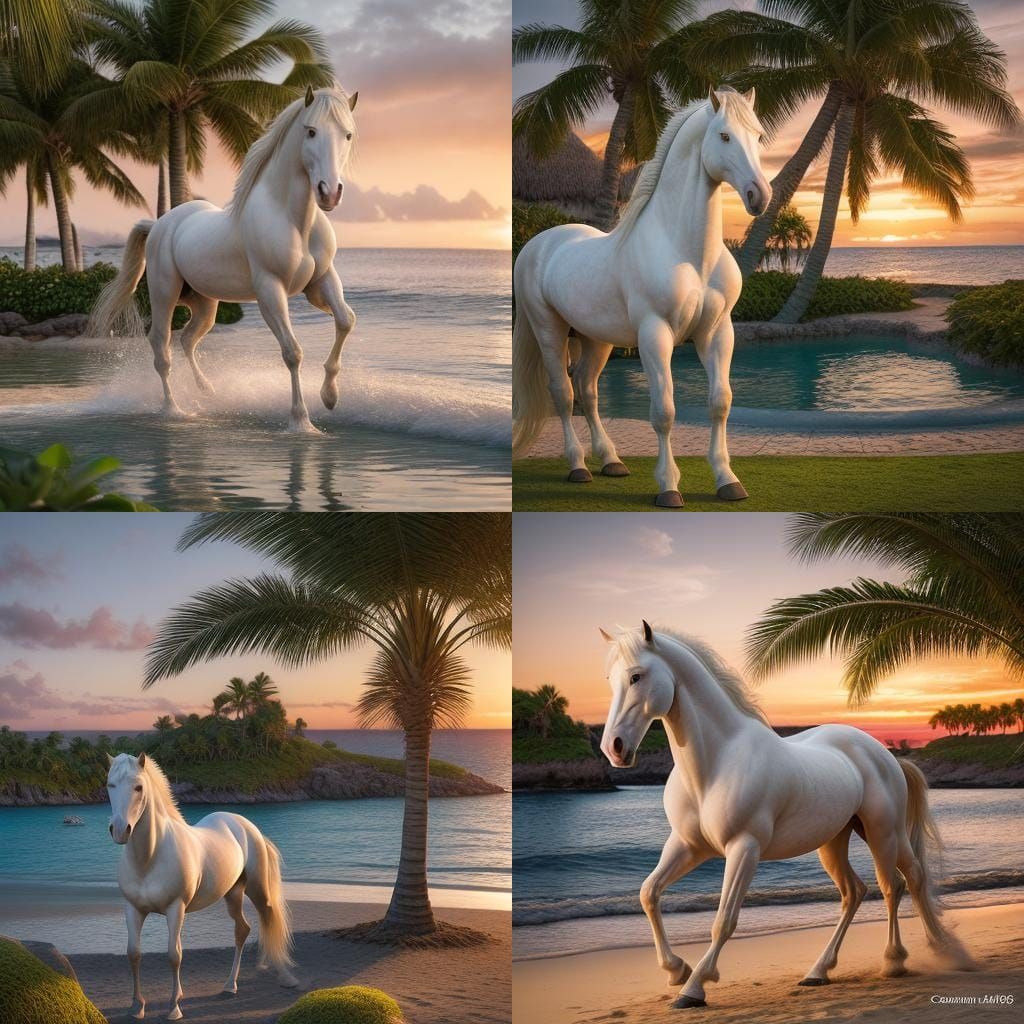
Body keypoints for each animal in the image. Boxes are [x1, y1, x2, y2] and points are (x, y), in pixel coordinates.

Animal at [88, 84, 358, 434]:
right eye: (310, 131)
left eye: (347, 135)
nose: (329, 193)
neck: (293, 220)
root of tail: (160, 223)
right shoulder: (270, 290)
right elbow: (292, 351)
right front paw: (301, 421)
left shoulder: (321, 281)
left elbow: (345, 320)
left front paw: (330, 397)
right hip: (164, 293)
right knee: (161, 345)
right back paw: (174, 410)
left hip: (205, 304)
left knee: (188, 339)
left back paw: (207, 391)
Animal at [105, 752, 297, 1020]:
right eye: (110, 785)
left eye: (138, 787)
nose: (120, 830)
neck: (150, 858)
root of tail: (246, 826)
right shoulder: (133, 909)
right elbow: (133, 953)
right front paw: (137, 1007)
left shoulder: (176, 909)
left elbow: (174, 955)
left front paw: (174, 1007)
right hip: (233, 894)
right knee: (242, 930)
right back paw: (229, 986)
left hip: (258, 891)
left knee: (269, 918)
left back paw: (286, 977)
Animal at [512, 88, 771, 507]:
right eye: (724, 136)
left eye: (759, 136)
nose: (758, 196)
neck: (687, 253)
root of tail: (540, 243)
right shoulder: (655, 335)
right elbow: (663, 411)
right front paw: (668, 487)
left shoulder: (717, 332)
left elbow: (720, 403)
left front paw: (727, 480)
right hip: (549, 330)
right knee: (564, 394)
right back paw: (578, 466)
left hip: (596, 339)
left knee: (588, 391)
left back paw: (611, 460)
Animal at [598, 622, 973, 1009]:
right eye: (610, 679)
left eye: (637, 676)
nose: (614, 748)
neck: (717, 763)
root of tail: (883, 752)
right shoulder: (688, 846)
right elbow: (649, 893)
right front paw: (676, 970)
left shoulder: (744, 849)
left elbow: (724, 920)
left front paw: (694, 987)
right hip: (834, 841)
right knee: (857, 891)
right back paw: (821, 971)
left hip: (884, 832)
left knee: (898, 884)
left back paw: (905, 959)